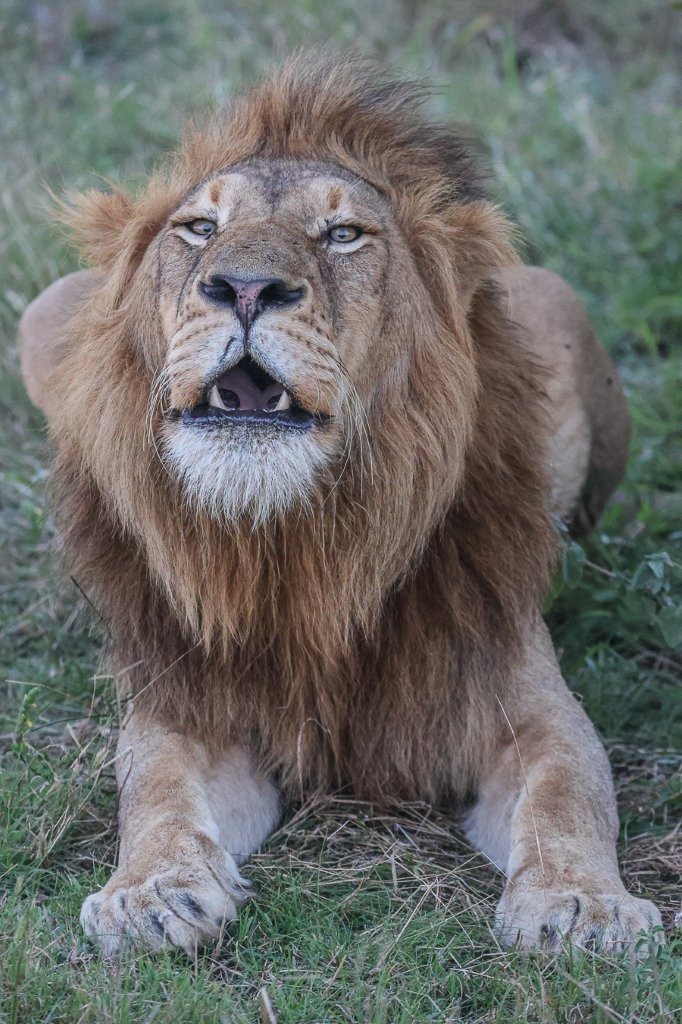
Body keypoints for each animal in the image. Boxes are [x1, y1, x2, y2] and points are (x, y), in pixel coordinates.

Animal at [18, 52, 661, 956]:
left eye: (344, 234)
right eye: (199, 229)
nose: (245, 286)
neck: (295, 538)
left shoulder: (525, 702)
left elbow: (571, 790)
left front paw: (584, 905)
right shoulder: (191, 703)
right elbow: (154, 787)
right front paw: (150, 893)